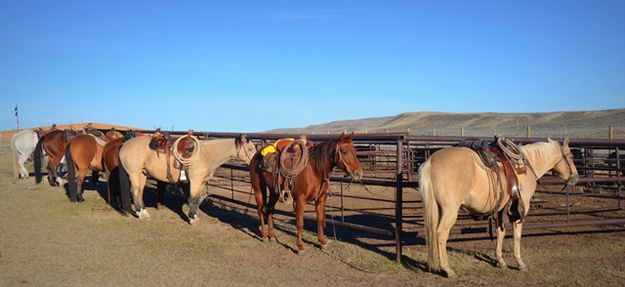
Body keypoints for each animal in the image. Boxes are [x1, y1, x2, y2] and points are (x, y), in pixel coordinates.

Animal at [119, 135, 256, 223]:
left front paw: (194, 216)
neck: (207, 154)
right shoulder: (195, 181)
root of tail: (124, 144)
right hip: (134, 174)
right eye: (250, 148)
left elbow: (196, 198)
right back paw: (140, 214)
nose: (255, 162)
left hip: (142, 174)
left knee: (139, 192)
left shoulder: (201, 182)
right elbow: (194, 198)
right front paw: (192, 219)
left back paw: (144, 212)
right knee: (134, 191)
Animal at [416, 139, 576, 280]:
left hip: (437, 208)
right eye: (571, 157)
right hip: (450, 211)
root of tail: (430, 161)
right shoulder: (521, 209)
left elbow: (501, 233)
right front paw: (520, 263)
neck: (526, 167)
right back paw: (448, 269)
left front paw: (500, 261)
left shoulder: (500, 210)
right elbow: (517, 235)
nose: (576, 177)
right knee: (441, 234)